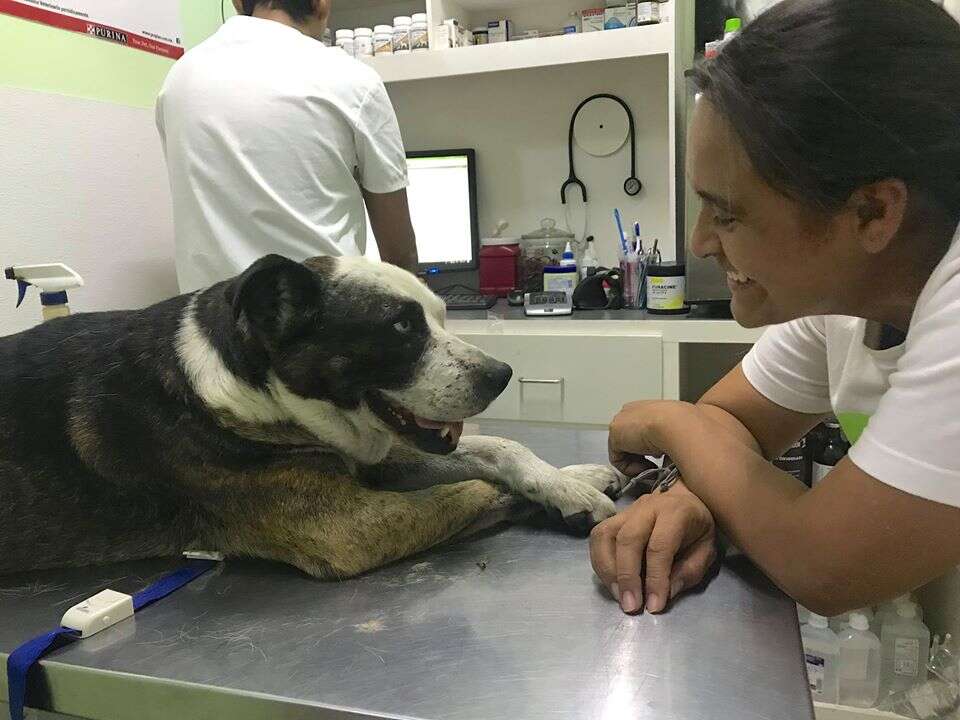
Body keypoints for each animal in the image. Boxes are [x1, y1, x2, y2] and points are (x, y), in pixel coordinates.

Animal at [0, 256, 624, 576]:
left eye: (441, 315)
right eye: (402, 326)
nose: (501, 374)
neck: (250, 386)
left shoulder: (377, 458)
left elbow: (501, 449)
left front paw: (570, 483)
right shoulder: (350, 527)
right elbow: (473, 488)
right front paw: (558, 502)